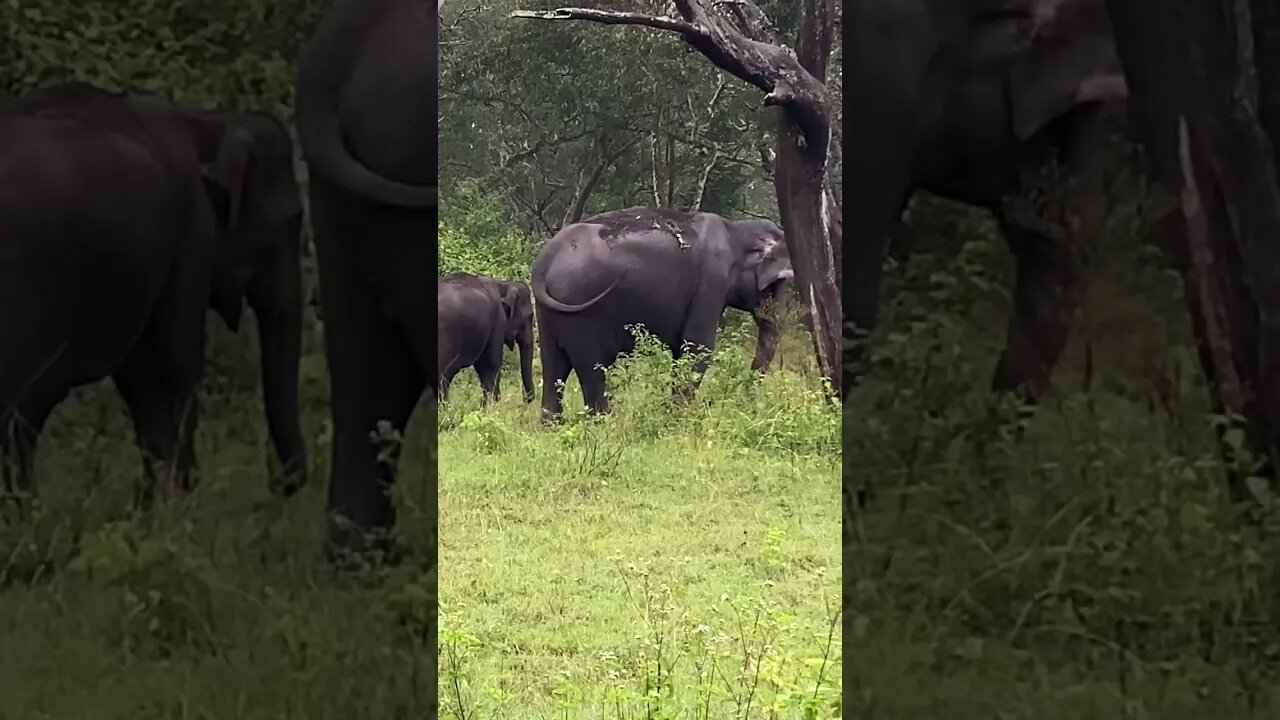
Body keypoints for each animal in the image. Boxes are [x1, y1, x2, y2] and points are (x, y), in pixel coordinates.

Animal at [0, 81, 304, 507]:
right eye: (293, 221)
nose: (278, 483)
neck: (205, 120)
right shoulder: (191, 230)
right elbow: (168, 373)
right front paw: (174, 506)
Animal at [440, 271, 535, 404]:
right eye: (531, 315)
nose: (526, 399)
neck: (502, 283)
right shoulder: (498, 322)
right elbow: (490, 365)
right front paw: (492, 405)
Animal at [529, 204, 788, 420]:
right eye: (776, 285)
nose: (748, 401)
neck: (736, 229)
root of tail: (544, 262)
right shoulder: (712, 280)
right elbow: (698, 346)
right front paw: (677, 417)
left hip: (549, 311)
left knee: (554, 365)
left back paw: (552, 426)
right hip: (580, 306)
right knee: (593, 367)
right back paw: (604, 423)